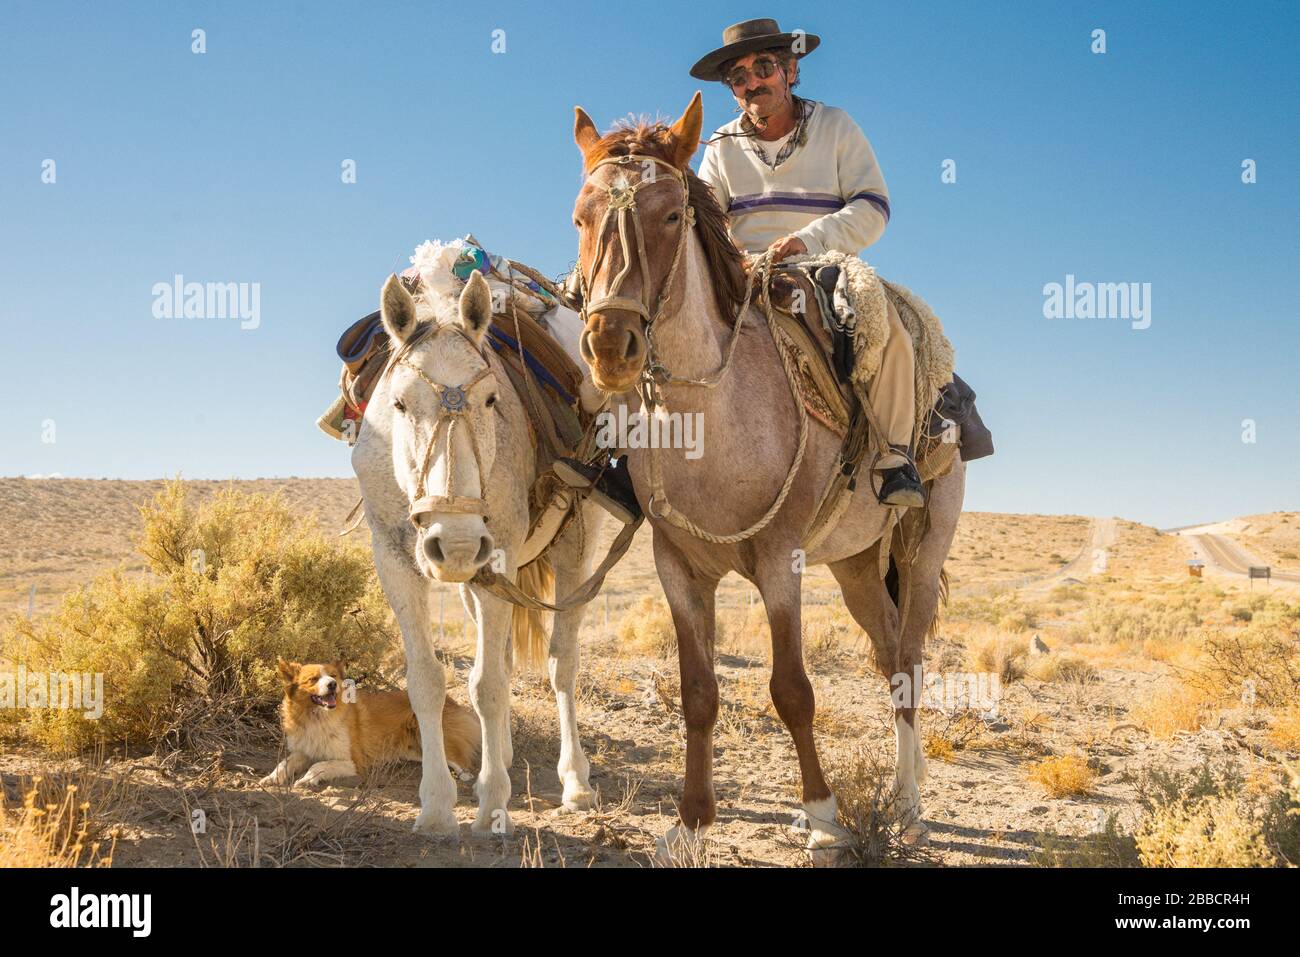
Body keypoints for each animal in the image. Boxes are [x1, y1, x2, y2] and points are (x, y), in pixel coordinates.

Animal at [257, 660, 478, 790]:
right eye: (313, 679)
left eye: (333, 676)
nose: (332, 685)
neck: (316, 717)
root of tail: (449, 699)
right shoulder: (304, 752)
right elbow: (284, 763)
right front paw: (271, 778)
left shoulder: (352, 762)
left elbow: (319, 765)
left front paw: (306, 779)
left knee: (462, 763)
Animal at [351, 273, 603, 832]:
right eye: (399, 404)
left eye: (491, 400)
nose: (458, 543)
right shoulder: (395, 562)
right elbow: (428, 680)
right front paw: (436, 805)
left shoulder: (499, 556)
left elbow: (488, 683)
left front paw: (491, 802)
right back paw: (502, 754)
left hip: (571, 548)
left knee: (562, 663)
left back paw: (575, 781)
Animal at [569, 93, 967, 863]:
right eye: (581, 214)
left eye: (671, 214)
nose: (610, 345)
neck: (712, 420)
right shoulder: (677, 565)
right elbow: (698, 692)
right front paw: (692, 823)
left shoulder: (782, 560)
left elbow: (792, 689)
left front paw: (822, 817)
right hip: (856, 565)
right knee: (886, 652)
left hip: (923, 547)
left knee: (907, 659)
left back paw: (908, 803)